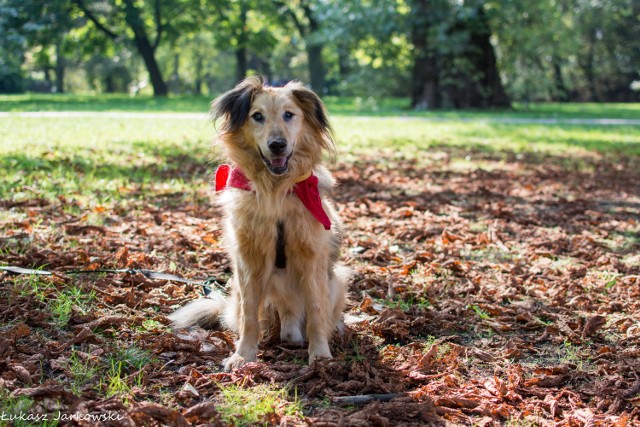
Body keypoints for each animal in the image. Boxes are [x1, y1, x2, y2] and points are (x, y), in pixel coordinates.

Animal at [169, 77, 350, 372]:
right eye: (257, 116)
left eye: (289, 114)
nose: (277, 145)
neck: (276, 193)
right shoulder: (248, 263)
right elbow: (249, 316)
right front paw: (244, 355)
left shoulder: (312, 259)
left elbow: (316, 311)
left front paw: (320, 356)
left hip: (337, 280)